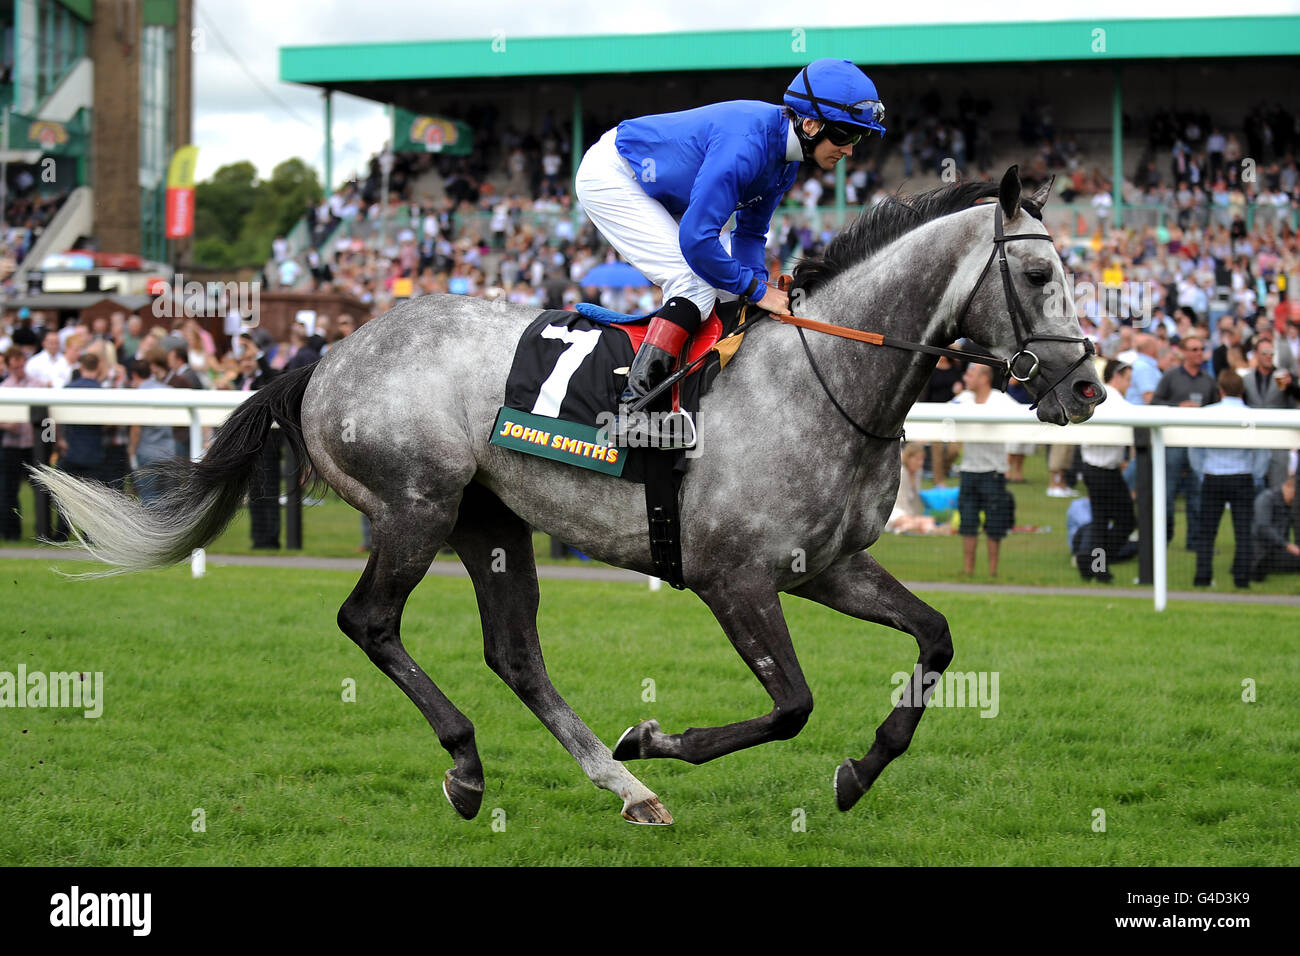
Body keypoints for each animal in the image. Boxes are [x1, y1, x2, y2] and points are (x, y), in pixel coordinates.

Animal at [35, 164, 1102, 822]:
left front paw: (859, 770)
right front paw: (656, 736)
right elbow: (792, 704)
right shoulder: (733, 577)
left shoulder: (827, 566)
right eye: (1036, 271)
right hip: (415, 508)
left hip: (492, 522)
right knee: (370, 622)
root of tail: (329, 353)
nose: (1089, 386)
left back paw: (618, 787)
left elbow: (936, 639)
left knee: (515, 653)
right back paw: (471, 764)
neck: (823, 378)